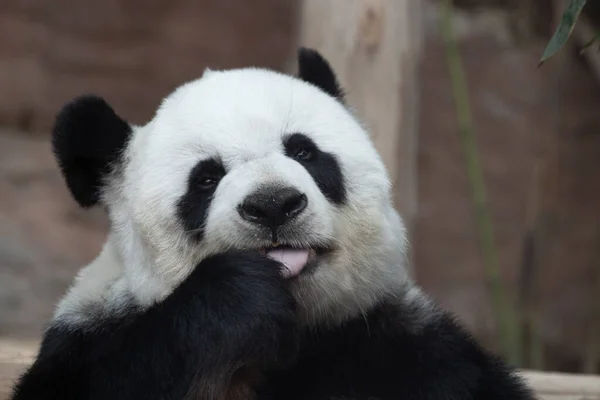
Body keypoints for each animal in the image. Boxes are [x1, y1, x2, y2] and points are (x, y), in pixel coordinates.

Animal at [10, 48, 536, 398]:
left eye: (303, 151)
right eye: (206, 179)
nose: (274, 205)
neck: (298, 333)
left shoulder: (396, 347)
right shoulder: (91, 339)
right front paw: (238, 296)